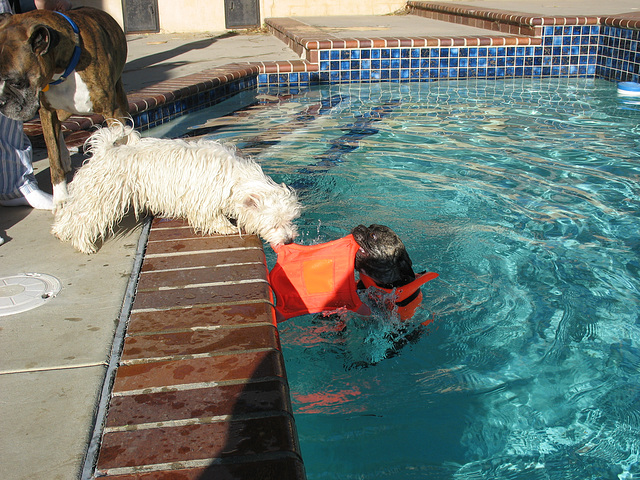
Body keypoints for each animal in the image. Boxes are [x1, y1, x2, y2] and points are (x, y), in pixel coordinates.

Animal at [0, 7, 129, 206]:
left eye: (17, 82)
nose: (0, 101)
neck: (62, 70)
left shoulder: (111, 110)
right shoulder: (45, 112)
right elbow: (53, 158)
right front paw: (60, 196)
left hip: (119, 96)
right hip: (61, 111)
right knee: (58, 131)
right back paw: (65, 157)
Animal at [52, 122, 300, 253]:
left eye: (289, 220)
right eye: (274, 224)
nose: (289, 240)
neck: (234, 179)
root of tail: (105, 151)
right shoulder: (204, 200)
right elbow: (211, 218)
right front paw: (227, 228)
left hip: (92, 192)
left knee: (72, 213)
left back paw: (60, 232)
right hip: (104, 196)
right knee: (84, 219)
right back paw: (83, 244)